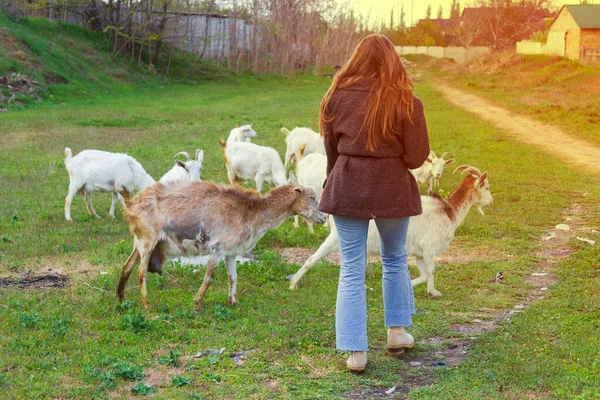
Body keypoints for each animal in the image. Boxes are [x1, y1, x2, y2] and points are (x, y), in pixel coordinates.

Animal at [290, 164, 492, 298]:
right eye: (487, 186)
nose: (491, 201)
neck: (448, 211)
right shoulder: (429, 248)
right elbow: (430, 272)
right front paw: (434, 292)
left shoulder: (420, 253)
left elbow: (423, 275)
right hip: (336, 239)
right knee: (312, 259)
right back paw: (293, 284)